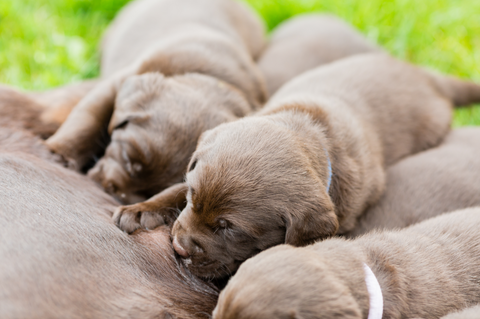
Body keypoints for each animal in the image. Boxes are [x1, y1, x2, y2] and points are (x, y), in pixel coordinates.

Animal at [45, 0, 266, 204]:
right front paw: (61, 154)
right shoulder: (117, 82)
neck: (212, 77)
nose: (114, 190)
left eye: (152, 191)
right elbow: (89, 117)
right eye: (127, 157)